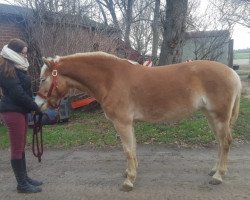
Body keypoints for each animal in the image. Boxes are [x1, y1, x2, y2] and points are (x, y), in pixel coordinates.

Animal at [34, 51, 241, 191]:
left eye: (43, 79)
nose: (37, 104)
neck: (110, 78)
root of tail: (232, 73)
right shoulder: (128, 123)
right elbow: (132, 148)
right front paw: (130, 173)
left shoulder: (122, 122)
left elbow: (127, 150)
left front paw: (129, 181)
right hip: (211, 115)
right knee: (220, 142)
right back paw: (214, 170)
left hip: (219, 116)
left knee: (225, 142)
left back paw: (218, 176)